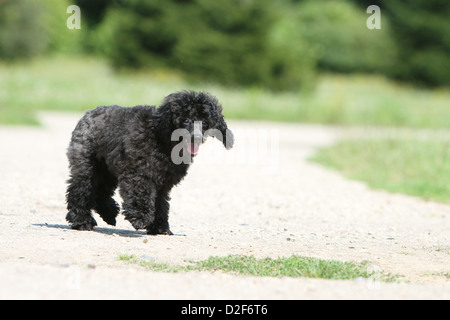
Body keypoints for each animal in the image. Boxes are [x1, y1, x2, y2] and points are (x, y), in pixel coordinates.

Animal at [65, 90, 234, 235]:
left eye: (204, 122)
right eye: (186, 120)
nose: (196, 137)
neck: (163, 140)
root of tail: (89, 114)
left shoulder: (163, 184)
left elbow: (161, 205)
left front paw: (160, 228)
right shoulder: (138, 174)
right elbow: (141, 195)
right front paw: (139, 218)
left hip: (107, 170)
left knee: (100, 192)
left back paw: (110, 213)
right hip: (87, 166)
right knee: (80, 191)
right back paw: (82, 221)